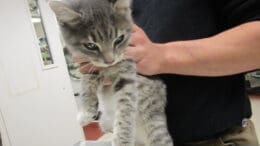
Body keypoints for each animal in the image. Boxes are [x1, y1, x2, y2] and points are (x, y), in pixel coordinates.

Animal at [49, 0, 174, 145]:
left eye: (119, 39)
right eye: (91, 46)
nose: (110, 60)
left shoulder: (127, 70)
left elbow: (125, 108)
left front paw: (122, 140)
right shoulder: (89, 65)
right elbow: (86, 83)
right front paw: (86, 112)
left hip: (154, 124)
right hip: (105, 122)